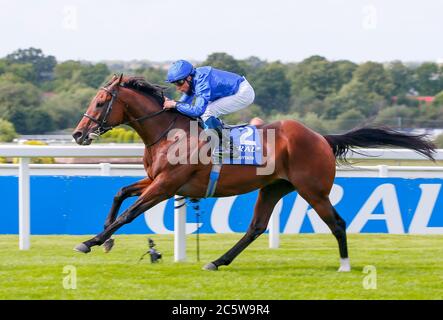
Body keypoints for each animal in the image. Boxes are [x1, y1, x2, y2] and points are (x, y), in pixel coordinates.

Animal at [71, 75, 436, 272]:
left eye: (100, 102)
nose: (78, 135)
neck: (168, 133)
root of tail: (321, 137)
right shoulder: (156, 180)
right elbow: (120, 193)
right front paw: (105, 239)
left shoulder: (166, 184)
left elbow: (130, 212)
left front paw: (91, 241)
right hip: (274, 187)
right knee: (256, 227)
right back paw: (217, 261)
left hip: (313, 190)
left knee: (337, 223)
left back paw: (345, 265)